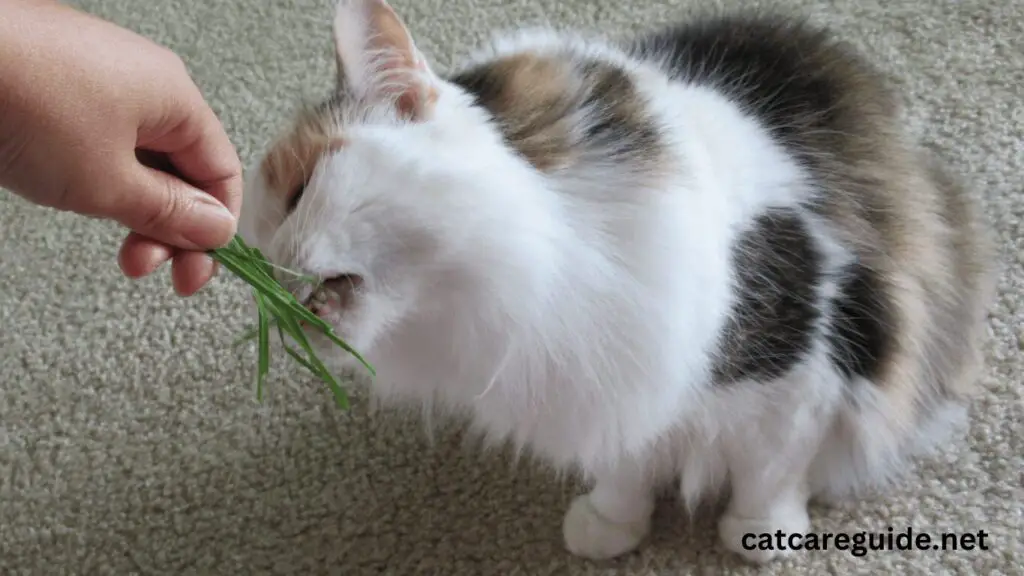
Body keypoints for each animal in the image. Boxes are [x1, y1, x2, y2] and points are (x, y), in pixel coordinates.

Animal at [237, 0, 991, 561]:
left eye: (299, 191)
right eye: (253, 250)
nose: (267, 281)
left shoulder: (804, 364)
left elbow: (770, 467)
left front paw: (760, 536)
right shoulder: (618, 380)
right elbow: (630, 461)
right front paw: (611, 524)